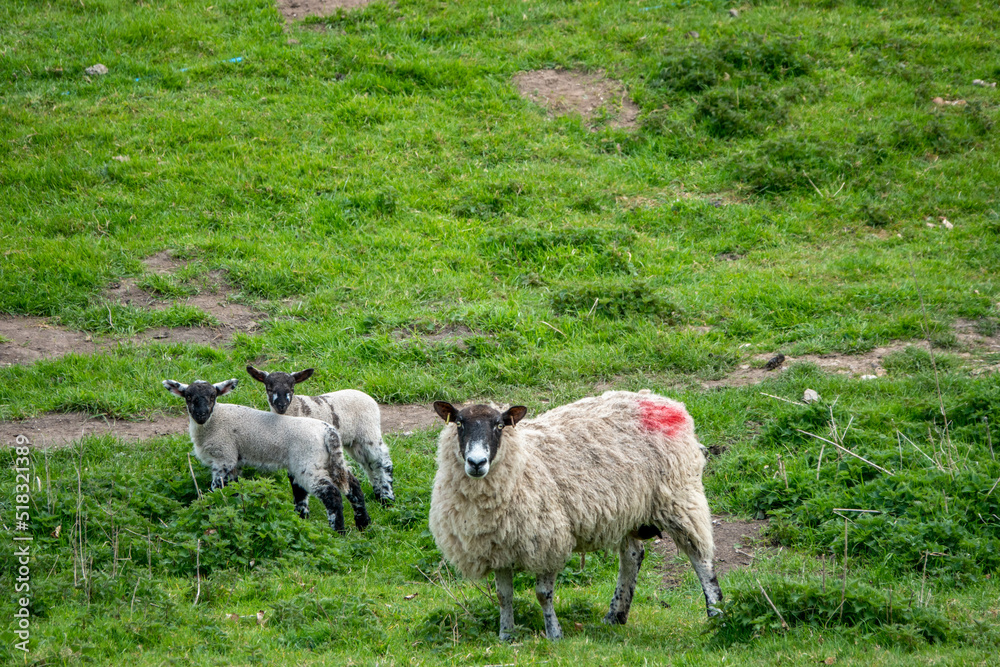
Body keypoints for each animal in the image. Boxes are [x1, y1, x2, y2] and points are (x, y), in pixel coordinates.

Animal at [162, 378, 370, 536]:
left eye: (213, 396)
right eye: (189, 396)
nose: (201, 414)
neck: (213, 422)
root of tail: (328, 432)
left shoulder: (224, 458)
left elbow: (216, 489)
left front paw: (210, 510)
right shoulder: (234, 463)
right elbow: (235, 490)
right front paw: (234, 511)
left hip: (308, 463)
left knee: (331, 494)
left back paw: (338, 532)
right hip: (328, 460)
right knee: (352, 483)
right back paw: (363, 524)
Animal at [245, 368, 394, 504]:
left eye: (292, 389)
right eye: (269, 389)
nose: (282, 406)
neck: (295, 409)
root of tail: (367, 396)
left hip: (369, 432)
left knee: (382, 461)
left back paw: (388, 498)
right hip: (354, 442)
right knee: (370, 464)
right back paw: (379, 495)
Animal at [428, 392, 720, 640]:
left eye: (499, 425)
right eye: (459, 423)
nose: (477, 463)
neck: (523, 461)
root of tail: (665, 403)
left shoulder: (548, 540)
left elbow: (543, 594)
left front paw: (554, 634)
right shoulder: (499, 544)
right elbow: (503, 595)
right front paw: (506, 635)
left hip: (679, 496)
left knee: (701, 558)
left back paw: (716, 613)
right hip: (627, 509)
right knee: (633, 556)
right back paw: (616, 615)